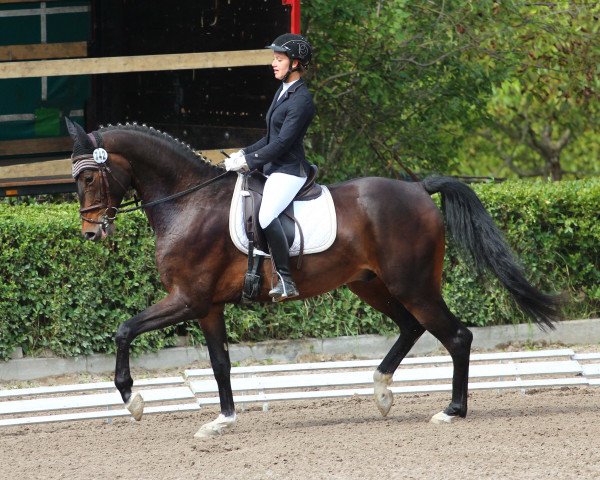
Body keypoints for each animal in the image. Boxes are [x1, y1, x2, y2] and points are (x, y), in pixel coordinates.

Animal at [63, 118, 560, 436]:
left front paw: (133, 400)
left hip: (412, 284)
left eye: (88, 178)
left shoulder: (189, 298)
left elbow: (123, 329)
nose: (90, 232)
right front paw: (223, 420)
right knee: (411, 327)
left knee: (456, 336)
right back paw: (381, 393)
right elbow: (220, 362)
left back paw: (451, 411)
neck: (187, 202)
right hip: (371, 284)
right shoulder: (208, 306)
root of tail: (419, 188)